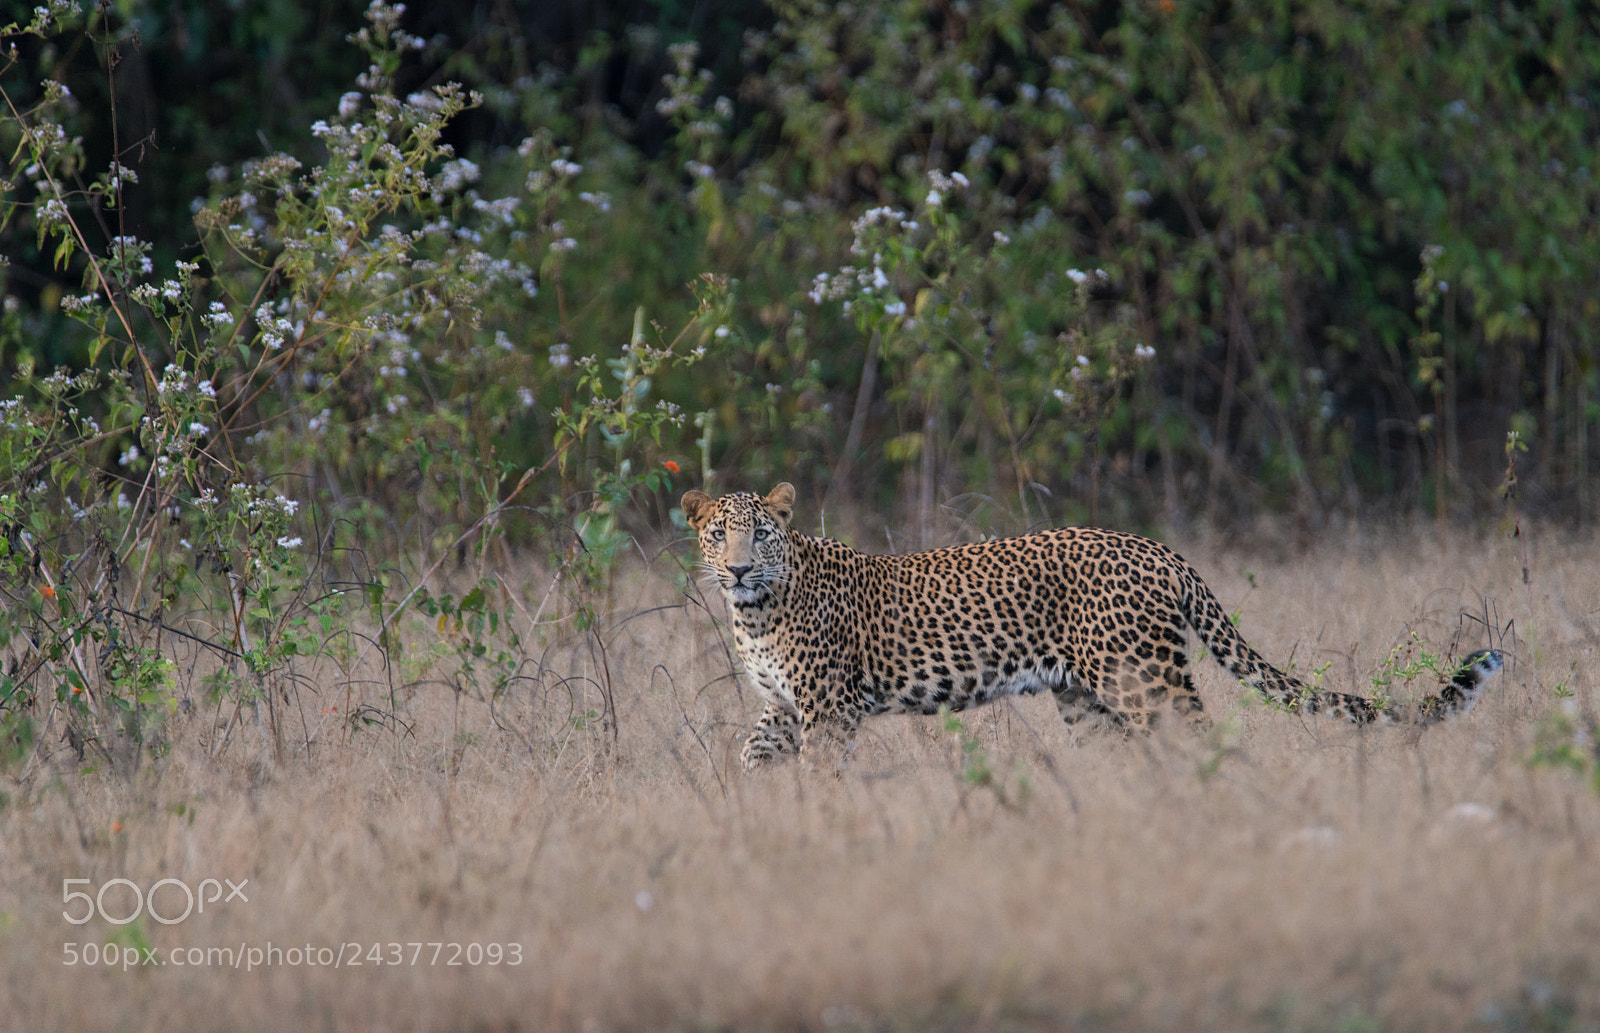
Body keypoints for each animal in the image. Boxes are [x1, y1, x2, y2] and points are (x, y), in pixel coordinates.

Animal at [682, 483, 1505, 770]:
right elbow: (754, 757)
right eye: (718, 534)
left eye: (761, 535)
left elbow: (822, 775)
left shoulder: (829, 708)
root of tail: (1155, 547)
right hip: (1085, 695)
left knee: (1197, 736)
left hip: (1142, 676)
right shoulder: (781, 707)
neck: (756, 611)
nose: (737, 570)